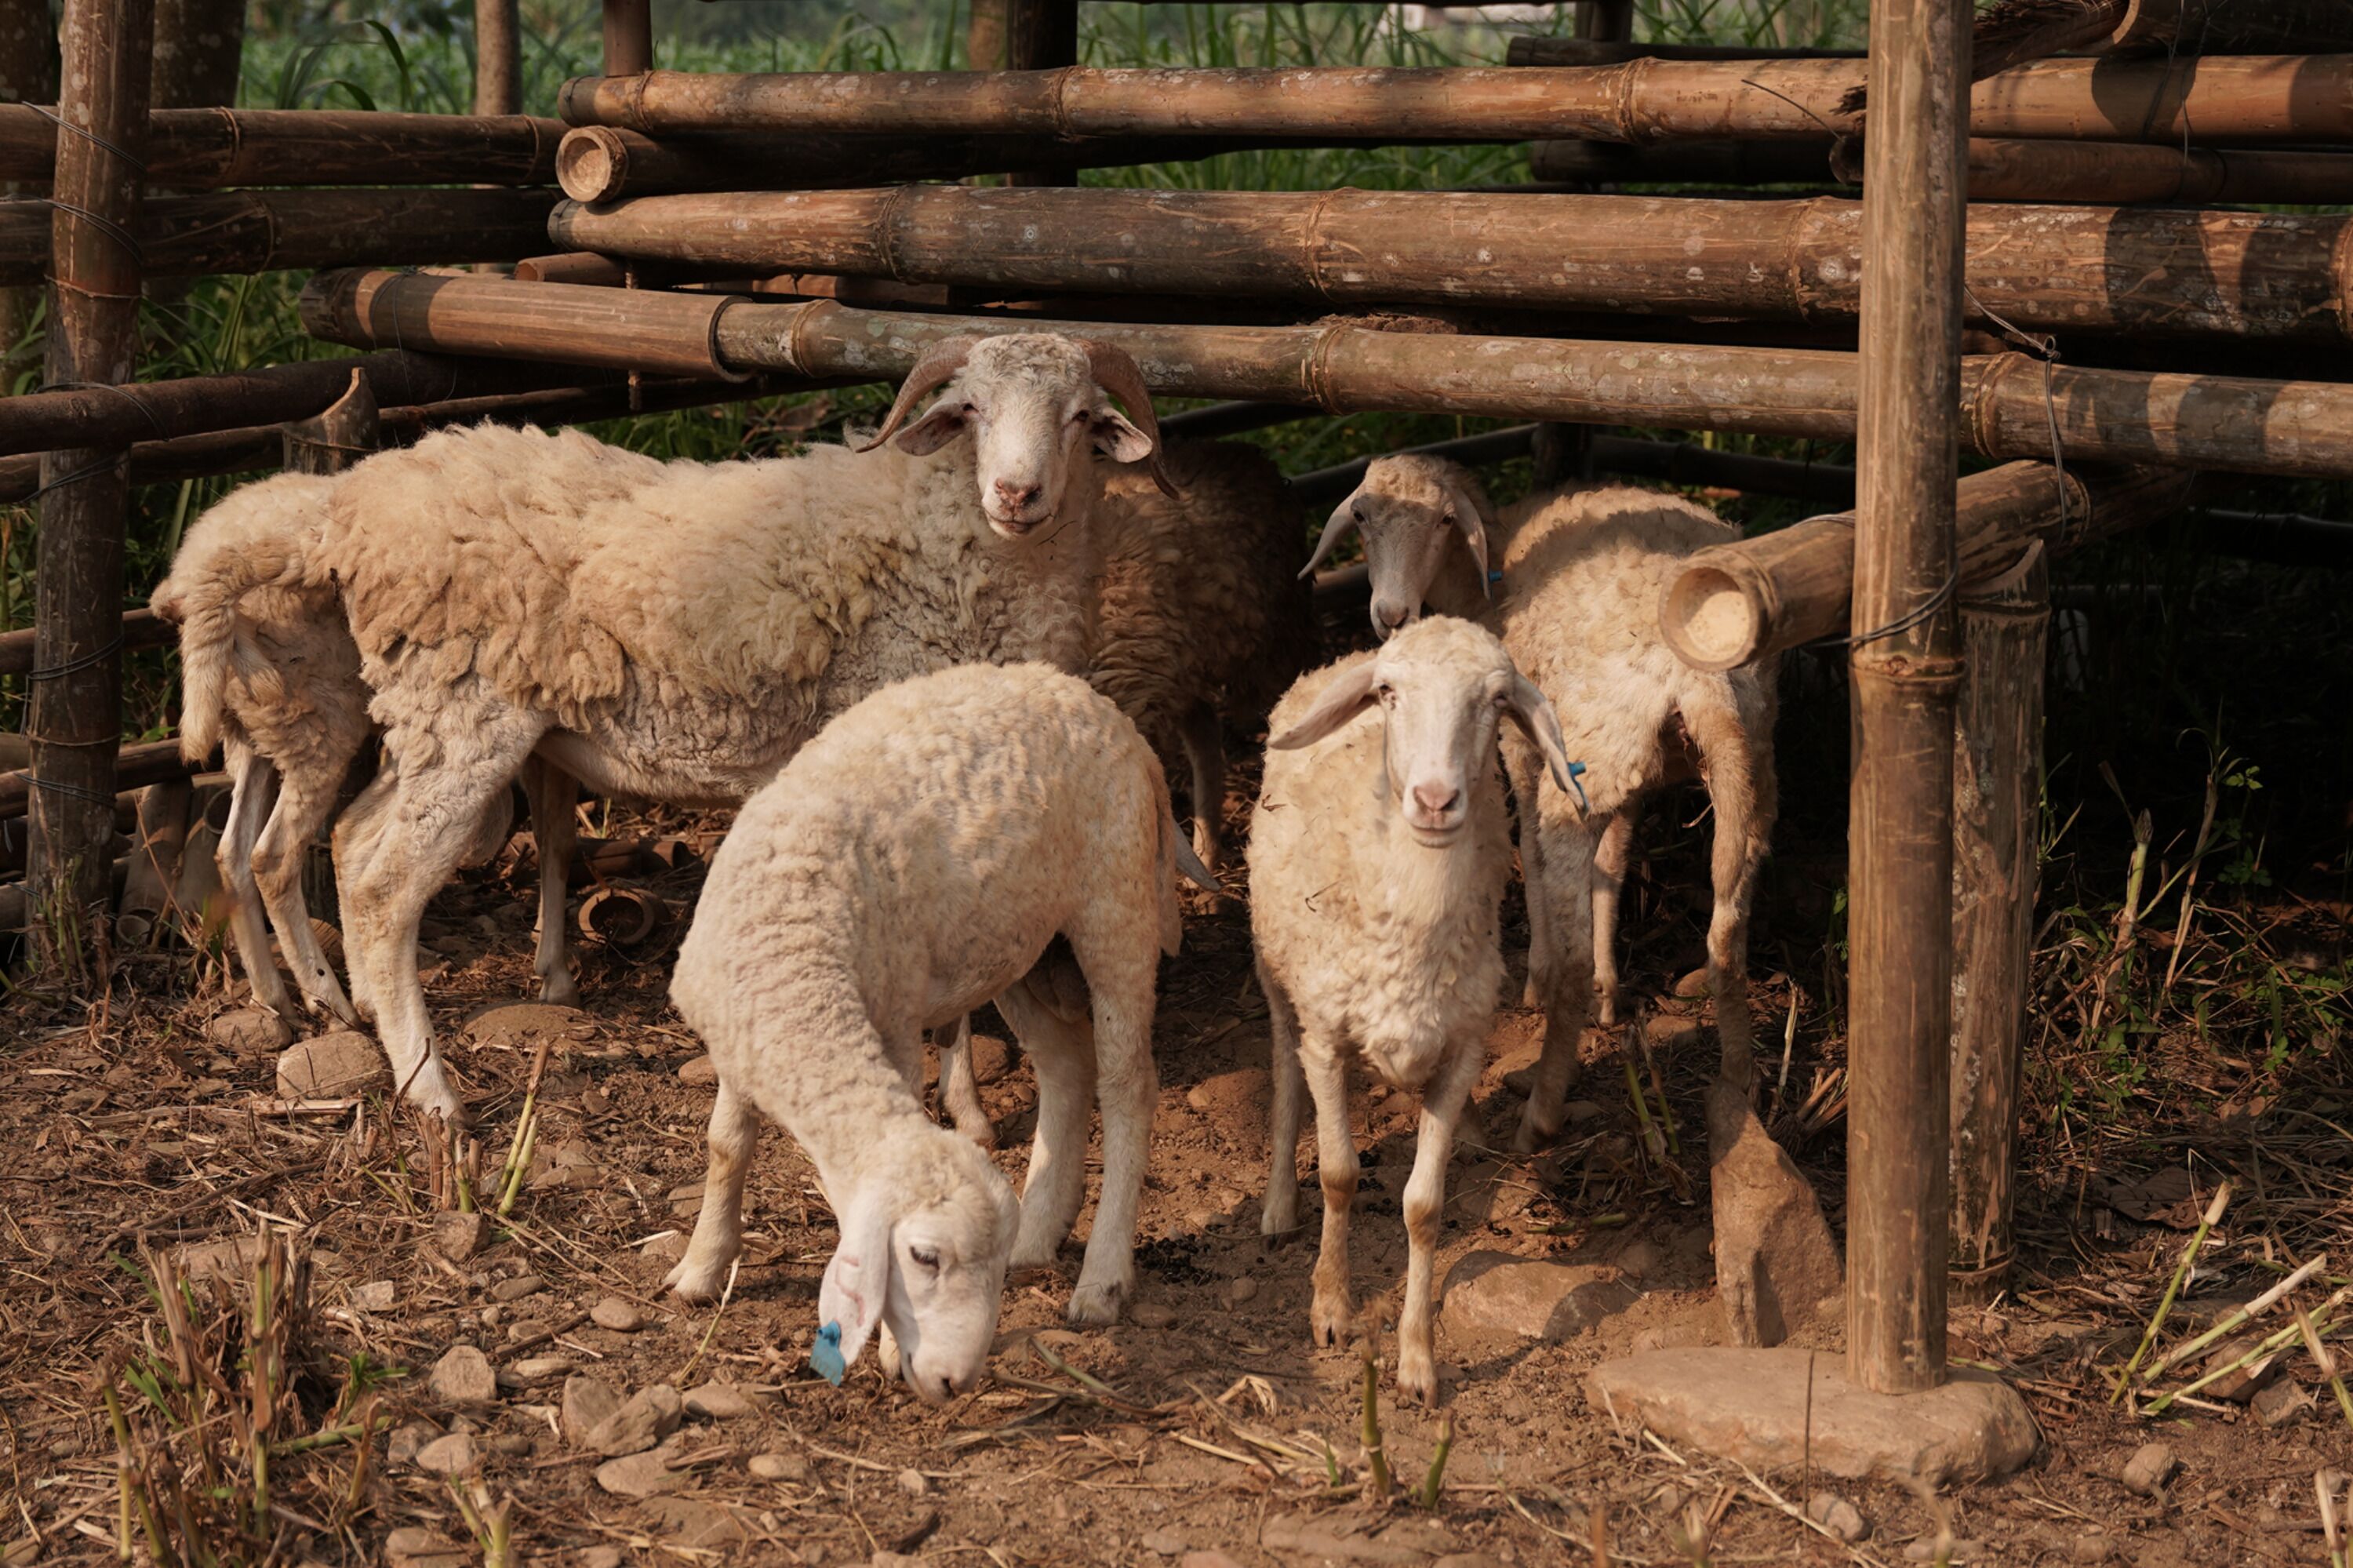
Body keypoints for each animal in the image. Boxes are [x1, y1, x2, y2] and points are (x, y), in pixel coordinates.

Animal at [284, 332, 1171, 1123]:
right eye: (972, 408)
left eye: (1079, 416)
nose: (1017, 495)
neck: (945, 538)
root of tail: (355, 507)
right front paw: (965, 1107)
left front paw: (965, 1098)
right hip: (464, 712)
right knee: (383, 887)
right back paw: (430, 1090)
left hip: (421, 716)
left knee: (352, 839)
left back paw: (367, 1014)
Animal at [667, 661, 1196, 1361]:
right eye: (928, 1258)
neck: (788, 937)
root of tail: (1103, 708)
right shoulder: (737, 1033)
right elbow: (726, 1144)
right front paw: (699, 1269)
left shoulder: (891, 1020)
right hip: (1019, 942)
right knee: (1065, 1065)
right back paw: (1036, 1233)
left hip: (1117, 905)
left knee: (1128, 1083)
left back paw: (1102, 1278)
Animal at [1249, 616, 1578, 1404]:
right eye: (1389, 693)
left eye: (1496, 701)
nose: (1434, 800)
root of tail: (1337, 659)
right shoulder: (1327, 1037)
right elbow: (1339, 1174)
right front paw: (1331, 1308)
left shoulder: (1461, 1052)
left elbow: (1424, 1207)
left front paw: (1418, 1359)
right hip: (1276, 972)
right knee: (1282, 1068)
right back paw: (1278, 1206)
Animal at [1307, 456, 1779, 1152]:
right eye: (1361, 516)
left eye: (1443, 521)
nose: (1391, 614)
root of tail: (1701, 679)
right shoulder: (1622, 774)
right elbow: (1613, 866)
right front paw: (1613, 988)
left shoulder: (1522, 744)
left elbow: (1528, 850)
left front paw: (1539, 973)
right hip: (1743, 765)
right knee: (1728, 935)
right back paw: (1738, 1086)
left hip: (1583, 763)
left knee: (1571, 951)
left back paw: (1542, 1109)